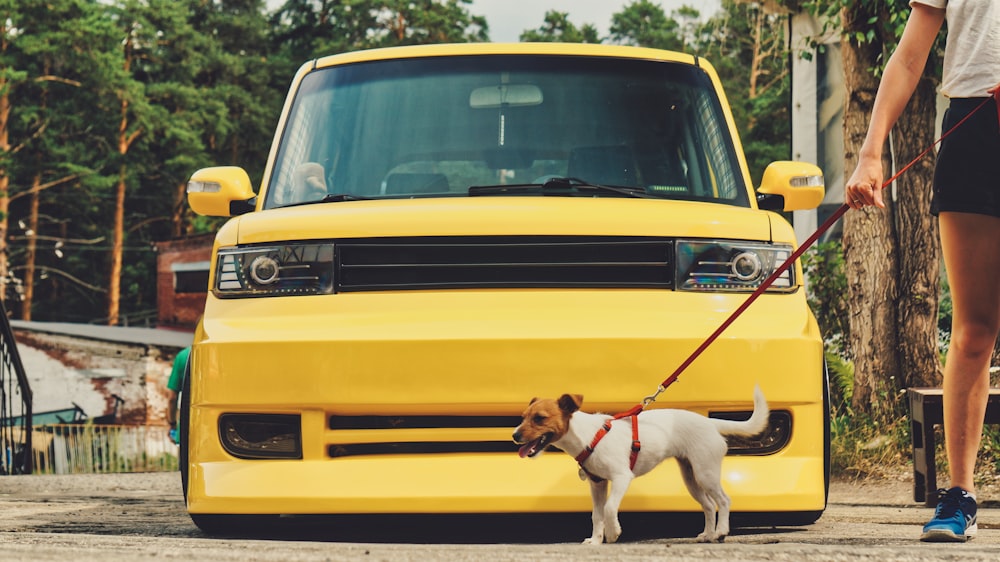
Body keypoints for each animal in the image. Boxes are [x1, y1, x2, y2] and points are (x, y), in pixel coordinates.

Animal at [512, 384, 768, 544]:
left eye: (540, 418)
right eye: (523, 417)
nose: (514, 435)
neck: (587, 435)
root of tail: (710, 423)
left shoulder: (621, 477)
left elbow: (609, 508)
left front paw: (613, 533)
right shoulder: (597, 484)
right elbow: (596, 515)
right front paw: (595, 541)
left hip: (706, 472)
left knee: (723, 501)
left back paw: (721, 532)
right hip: (691, 478)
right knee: (707, 505)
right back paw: (708, 534)